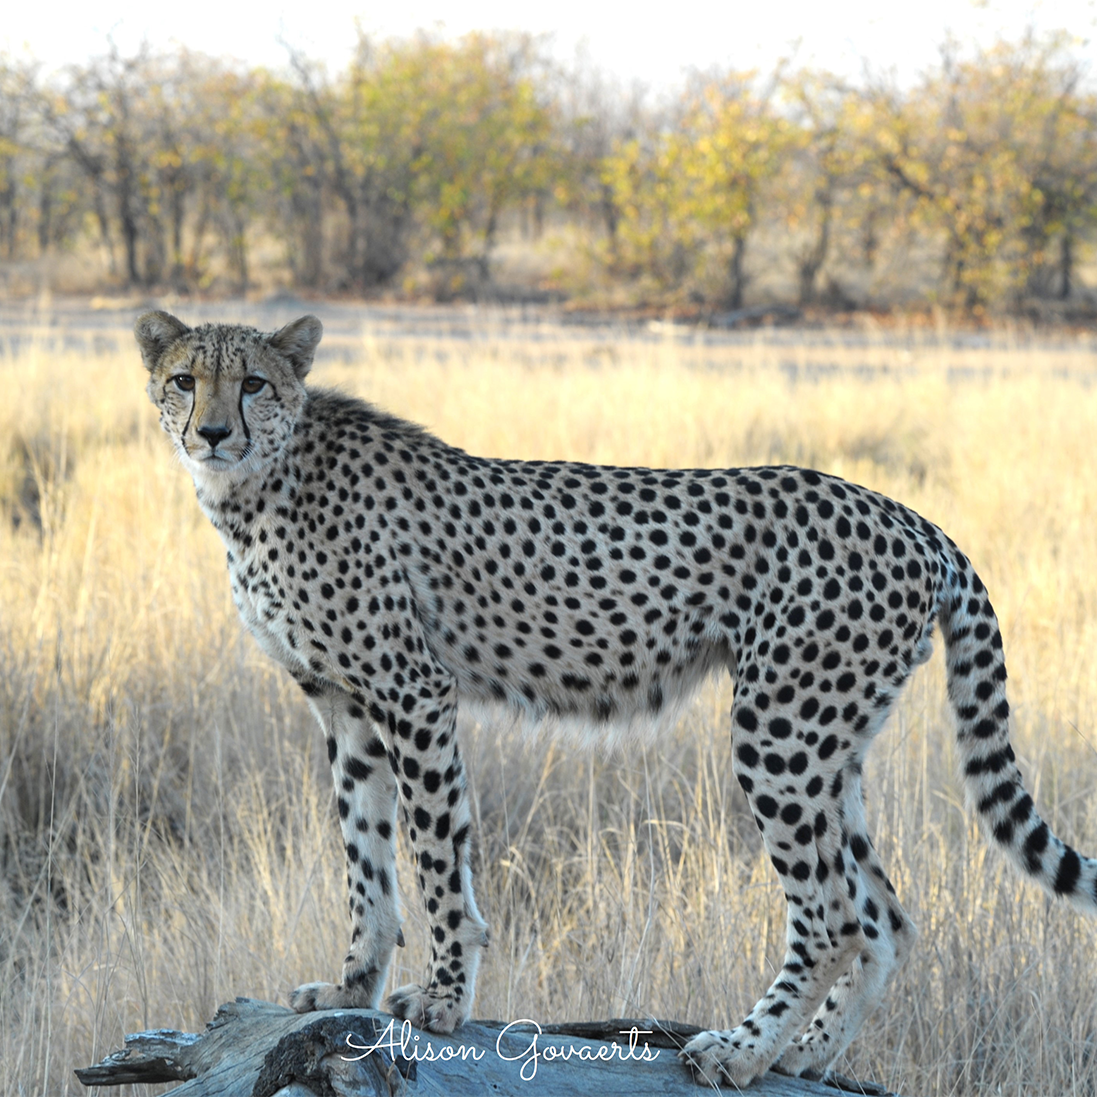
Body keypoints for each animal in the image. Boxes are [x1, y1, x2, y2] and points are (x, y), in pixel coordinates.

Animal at [136, 310, 1097, 1088]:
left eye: (254, 382)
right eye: (185, 378)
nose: (212, 431)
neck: (262, 485)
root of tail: (910, 517)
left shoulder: (414, 691)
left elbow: (438, 857)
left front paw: (442, 1000)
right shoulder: (342, 705)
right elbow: (366, 863)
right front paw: (348, 986)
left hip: (779, 732)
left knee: (829, 915)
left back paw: (739, 1050)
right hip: (833, 745)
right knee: (884, 914)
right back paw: (803, 1053)